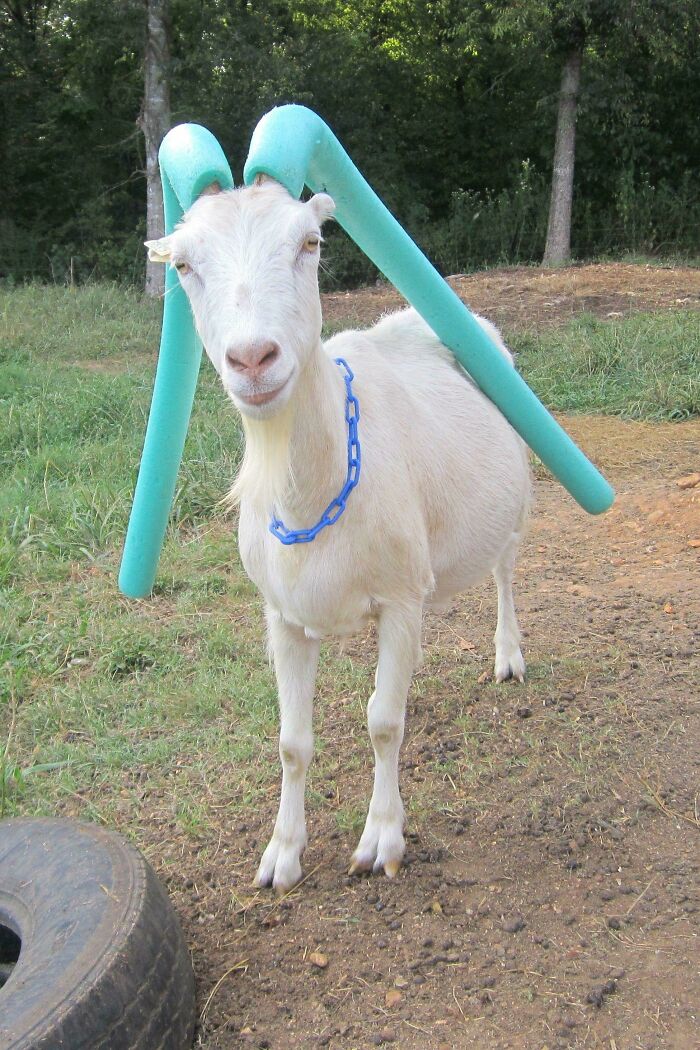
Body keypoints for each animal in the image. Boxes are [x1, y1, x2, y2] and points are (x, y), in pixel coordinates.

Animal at [146, 179, 531, 893]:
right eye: (182, 264)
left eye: (310, 242)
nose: (253, 358)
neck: (310, 497)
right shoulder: (283, 616)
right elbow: (292, 742)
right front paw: (282, 854)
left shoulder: (400, 597)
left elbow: (383, 724)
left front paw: (381, 840)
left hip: (515, 501)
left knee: (505, 573)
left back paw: (509, 656)